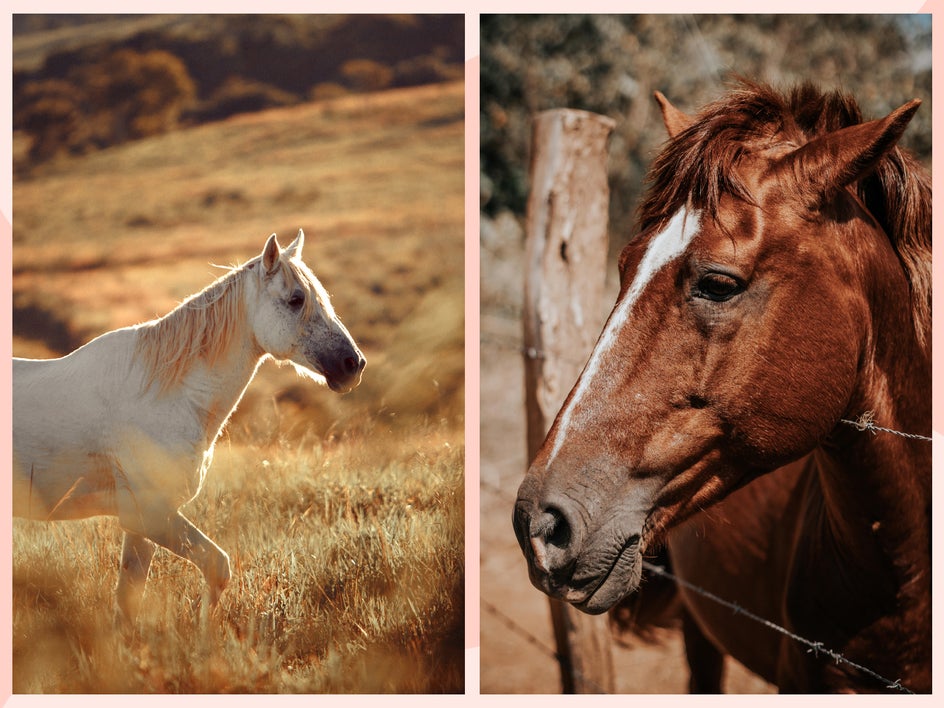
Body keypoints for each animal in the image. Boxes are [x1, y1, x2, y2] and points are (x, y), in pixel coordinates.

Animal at [12, 230, 366, 624]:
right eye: (296, 299)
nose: (353, 364)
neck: (165, 395)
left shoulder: (140, 525)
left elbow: (129, 601)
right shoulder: (150, 513)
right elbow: (217, 567)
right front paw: (203, 637)